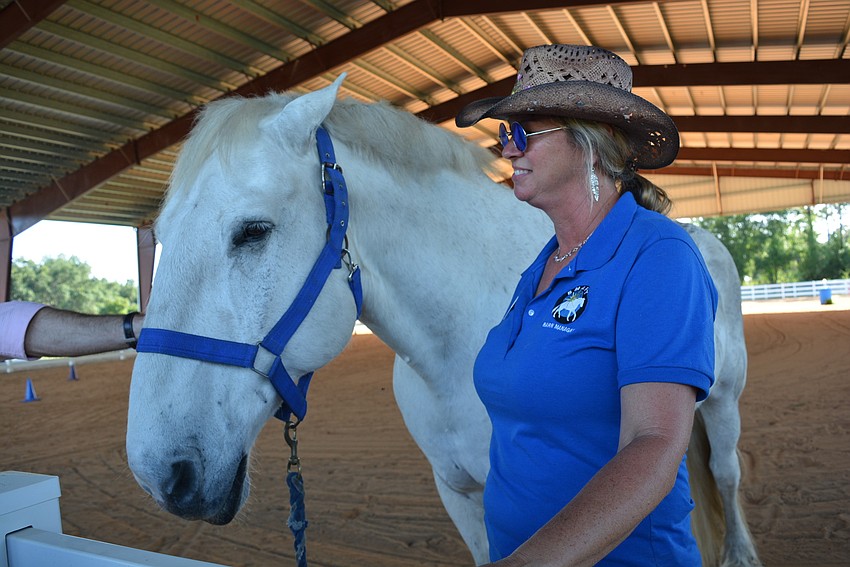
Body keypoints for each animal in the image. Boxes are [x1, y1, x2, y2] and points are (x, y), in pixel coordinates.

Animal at [127, 75, 761, 566]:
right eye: (159, 238)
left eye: (253, 231)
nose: (162, 475)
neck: (451, 353)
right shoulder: (459, 492)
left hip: (726, 404)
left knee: (727, 475)